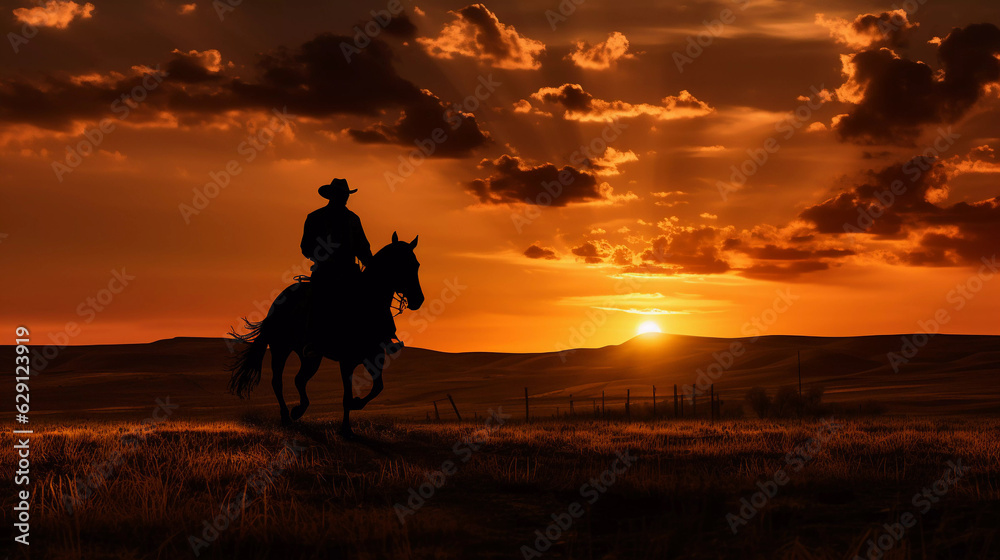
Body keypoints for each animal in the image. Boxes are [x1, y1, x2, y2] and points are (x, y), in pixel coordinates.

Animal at [226, 232, 422, 438]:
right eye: (402, 265)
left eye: (416, 264)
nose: (418, 299)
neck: (365, 304)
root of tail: (277, 303)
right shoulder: (347, 361)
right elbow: (346, 395)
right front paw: (346, 428)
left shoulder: (373, 357)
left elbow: (378, 387)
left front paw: (356, 405)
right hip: (281, 349)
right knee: (277, 381)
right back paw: (287, 416)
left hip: (311, 357)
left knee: (299, 379)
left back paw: (298, 411)